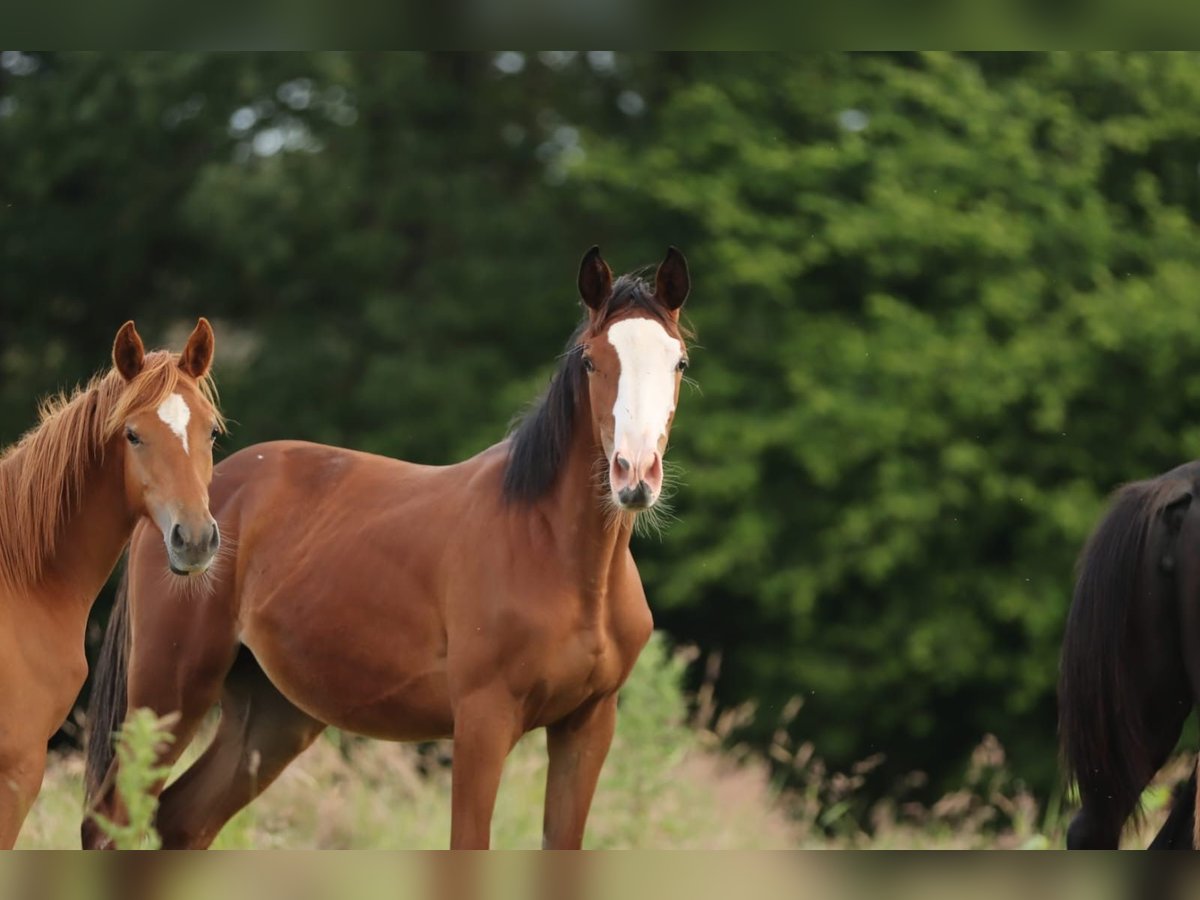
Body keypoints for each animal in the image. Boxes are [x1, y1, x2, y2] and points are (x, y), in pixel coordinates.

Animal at [84, 247, 696, 854]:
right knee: (111, 817)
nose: (634, 474)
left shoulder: (588, 725)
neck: (558, 556)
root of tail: (180, 507)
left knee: (183, 818)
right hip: (170, 689)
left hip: (271, 717)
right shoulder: (483, 720)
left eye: (679, 363)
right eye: (592, 361)